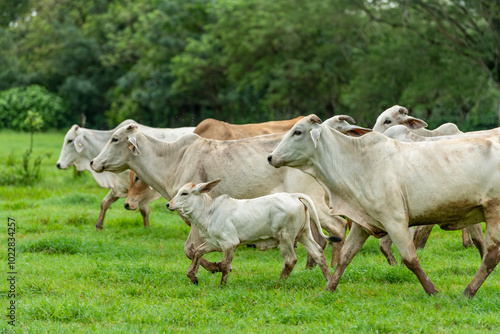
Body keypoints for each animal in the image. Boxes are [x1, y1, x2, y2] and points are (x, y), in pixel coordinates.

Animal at [56, 120, 193, 230]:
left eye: (70, 140)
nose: (58, 164)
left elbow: (143, 209)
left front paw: (147, 228)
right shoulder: (119, 186)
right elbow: (105, 202)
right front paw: (99, 225)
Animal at [90, 124, 346, 272]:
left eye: (114, 139)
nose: (93, 162)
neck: (174, 159)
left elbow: (191, 249)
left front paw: (214, 267)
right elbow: (194, 250)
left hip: (316, 203)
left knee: (338, 227)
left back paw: (335, 266)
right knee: (321, 238)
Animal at [166, 180, 334, 288]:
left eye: (184, 193)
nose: (168, 204)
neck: (209, 212)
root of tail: (293, 196)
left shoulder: (229, 243)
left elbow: (226, 265)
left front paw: (221, 285)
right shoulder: (214, 243)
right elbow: (197, 252)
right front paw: (193, 276)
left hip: (285, 237)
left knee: (290, 260)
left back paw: (279, 283)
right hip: (303, 234)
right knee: (318, 252)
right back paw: (329, 280)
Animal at [270, 115, 500, 298]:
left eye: (297, 131)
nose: (270, 157)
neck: (357, 163)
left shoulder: (395, 220)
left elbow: (410, 259)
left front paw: (432, 291)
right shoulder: (361, 223)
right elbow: (345, 256)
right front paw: (328, 289)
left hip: (494, 211)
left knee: (491, 255)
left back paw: (468, 291)